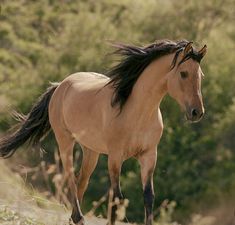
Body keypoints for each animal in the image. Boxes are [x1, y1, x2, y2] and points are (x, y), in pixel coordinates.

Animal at [0, 40, 206, 225]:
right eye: (184, 73)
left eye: (200, 75)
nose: (197, 112)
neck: (137, 112)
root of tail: (60, 86)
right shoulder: (115, 157)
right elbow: (117, 198)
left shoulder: (149, 155)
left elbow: (148, 196)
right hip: (65, 141)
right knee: (70, 177)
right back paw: (78, 217)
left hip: (91, 151)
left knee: (82, 180)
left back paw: (74, 218)